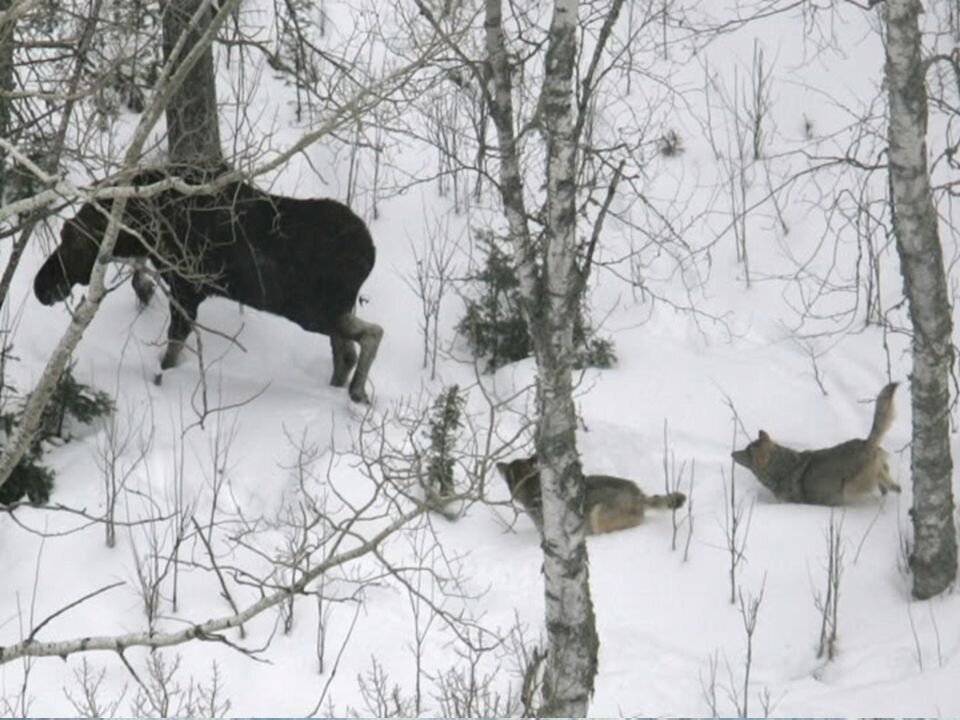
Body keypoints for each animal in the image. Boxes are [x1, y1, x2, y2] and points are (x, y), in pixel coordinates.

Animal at [736, 382, 900, 506]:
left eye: (747, 451)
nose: (732, 453)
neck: (781, 467)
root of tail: (866, 442)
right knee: (894, 486)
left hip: (851, 487)